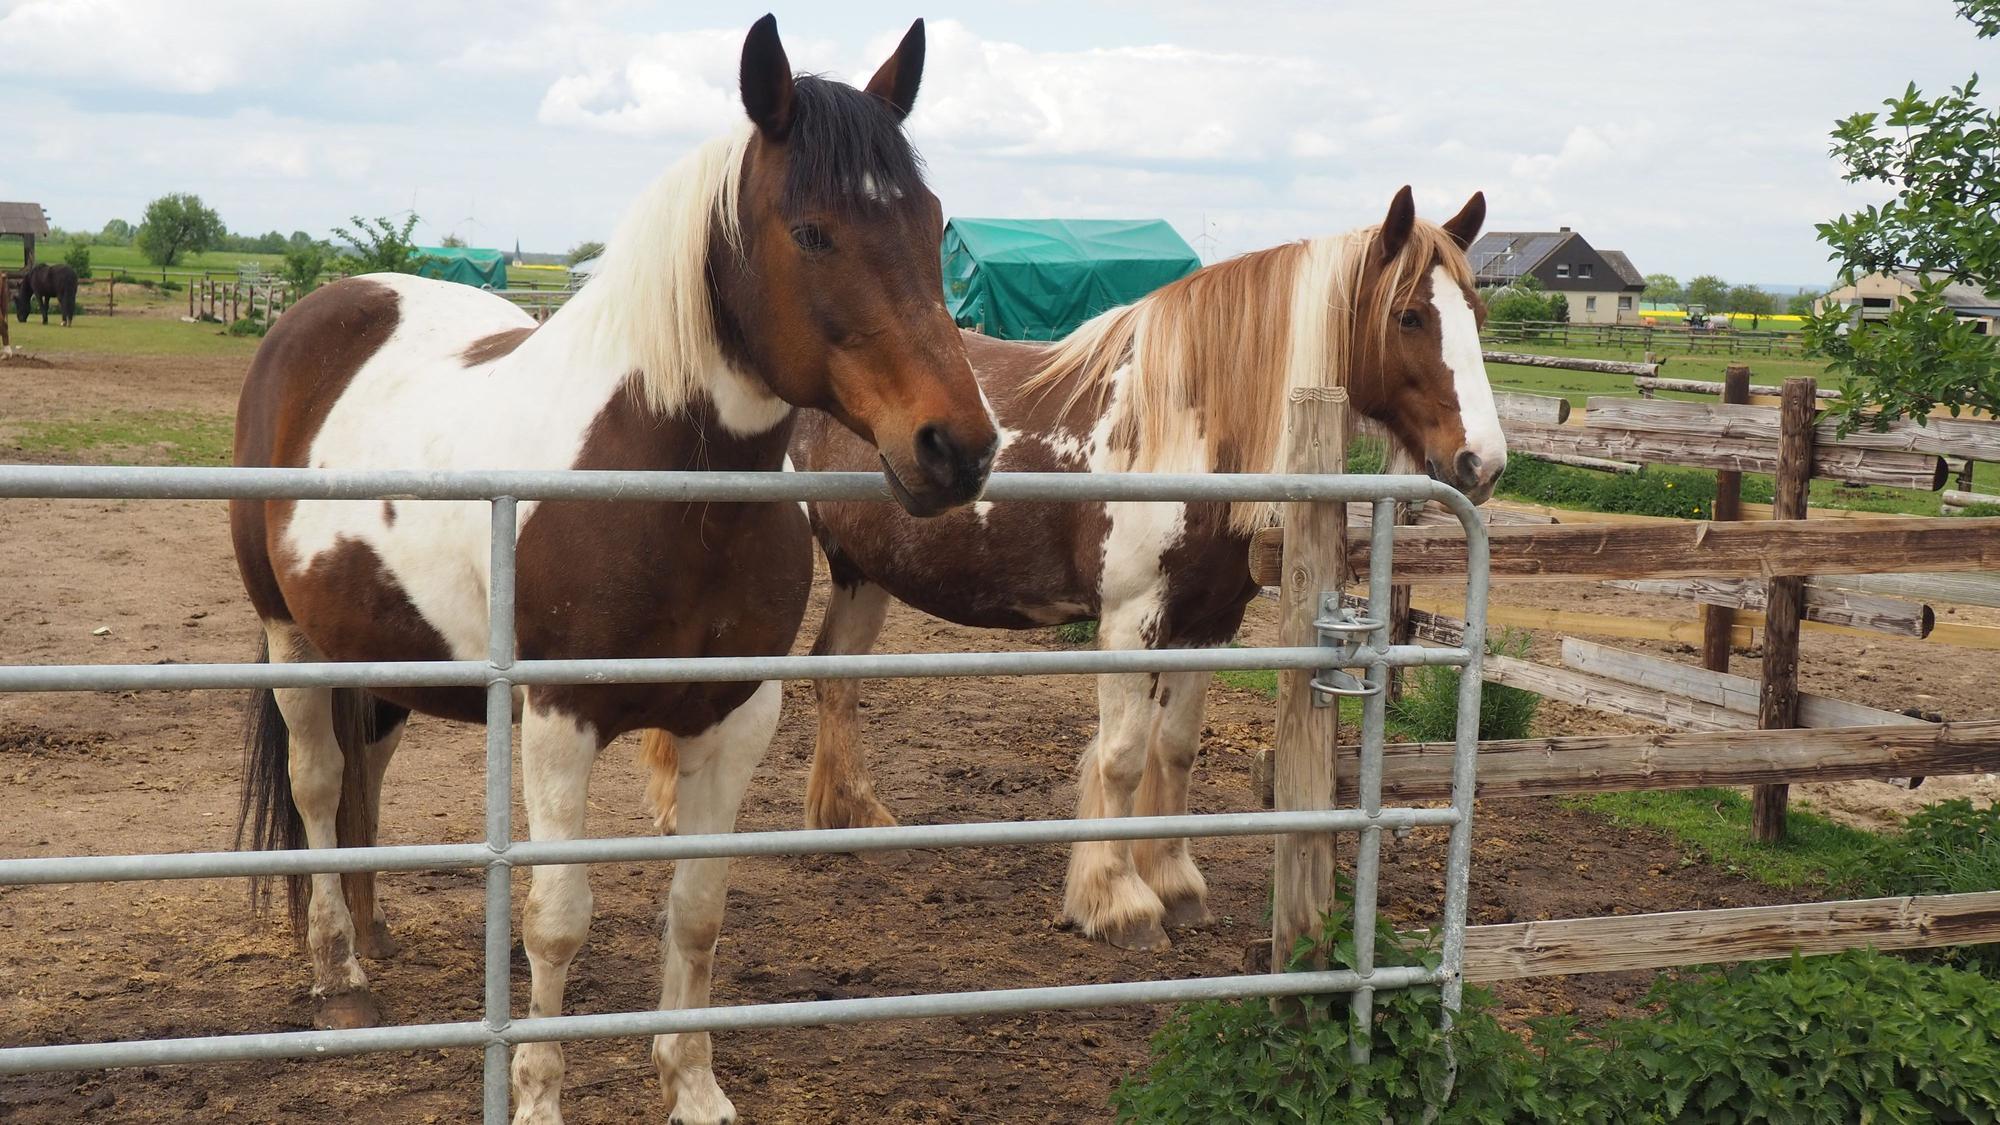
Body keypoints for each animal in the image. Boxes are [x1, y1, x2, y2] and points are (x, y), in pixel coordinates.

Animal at [229, 17, 997, 1124]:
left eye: (934, 227)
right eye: (812, 232)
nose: (958, 448)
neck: (663, 486)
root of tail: (319, 311)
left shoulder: (737, 716)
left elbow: (698, 908)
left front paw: (693, 1084)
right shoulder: (559, 719)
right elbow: (557, 917)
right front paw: (539, 1096)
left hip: (385, 650)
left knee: (366, 771)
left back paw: (373, 937)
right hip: (292, 640)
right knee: (322, 782)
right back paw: (339, 975)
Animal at [645, 187, 1504, 952]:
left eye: (1478, 312)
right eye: (1409, 315)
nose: (1484, 463)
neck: (1186, 424)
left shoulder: (1210, 623)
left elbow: (1174, 748)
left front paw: (1175, 882)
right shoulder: (1131, 618)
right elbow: (1120, 755)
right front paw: (1116, 901)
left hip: (863, 572)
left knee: (836, 676)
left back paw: (852, 819)